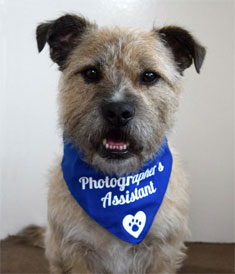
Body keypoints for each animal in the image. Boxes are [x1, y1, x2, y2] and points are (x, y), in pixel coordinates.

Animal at [28, 13, 206, 272]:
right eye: (91, 72)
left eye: (149, 76)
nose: (118, 111)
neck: (117, 181)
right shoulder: (76, 251)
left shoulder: (162, 251)